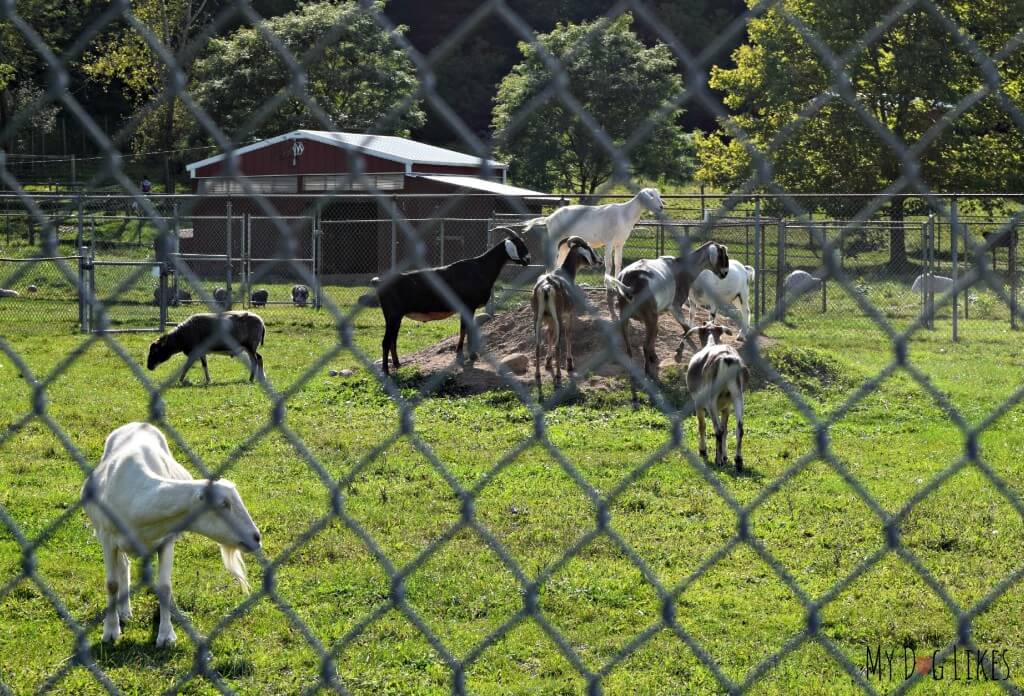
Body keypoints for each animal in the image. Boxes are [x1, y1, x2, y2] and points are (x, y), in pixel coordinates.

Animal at [82, 423, 262, 646]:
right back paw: (123, 612)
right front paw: (110, 631)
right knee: (123, 566)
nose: (256, 537)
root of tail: (137, 423)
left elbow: (165, 587)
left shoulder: (166, 540)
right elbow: (111, 585)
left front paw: (166, 635)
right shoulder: (107, 538)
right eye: (224, 504)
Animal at [360, 229, 532, 374]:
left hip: (396, 317)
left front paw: (470, 356)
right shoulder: (468, 306)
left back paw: (397, 364)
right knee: (386, 341)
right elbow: (465, 329)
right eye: (519, 244)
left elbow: (467, 330)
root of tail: (379, 282)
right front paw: (464, 356)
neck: (480, 268)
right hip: (392, 315)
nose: (528, 259)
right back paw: (386, 371)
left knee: (393, 340)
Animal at [532, 236, 602, 397]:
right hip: (557, 317)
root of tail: (546, 288)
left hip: (537, 318)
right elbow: (568, 334)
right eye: (589, 248)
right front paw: (570, 364)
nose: (599, 261)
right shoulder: (568, 314)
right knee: (559, 345)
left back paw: (537, 375)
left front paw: (548, 362)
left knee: (537, 345)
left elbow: (550, 335)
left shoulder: (549, 319)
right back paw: (558, 376)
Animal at [602, 239, 733, 405]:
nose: (725, 273)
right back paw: (649, 374)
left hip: (627, 316)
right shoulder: (674, 306)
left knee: (629, 348)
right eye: (724, 255)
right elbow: (686, 329)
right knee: (644, 346)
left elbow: (657, 336)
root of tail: (629, 285)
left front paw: (656, 357)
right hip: (650, 316)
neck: (682, 267)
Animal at [684, 323, 749, 470]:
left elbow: (702, 425)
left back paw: (717, 460)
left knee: (717, 429)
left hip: (711, 401)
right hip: (737, 396)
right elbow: (725, 429)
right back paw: (738, 461)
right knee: (739, 428)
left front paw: (703, 451)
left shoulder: (698, 403)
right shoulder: (726, 407)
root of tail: (727, 359)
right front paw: (725, 456)